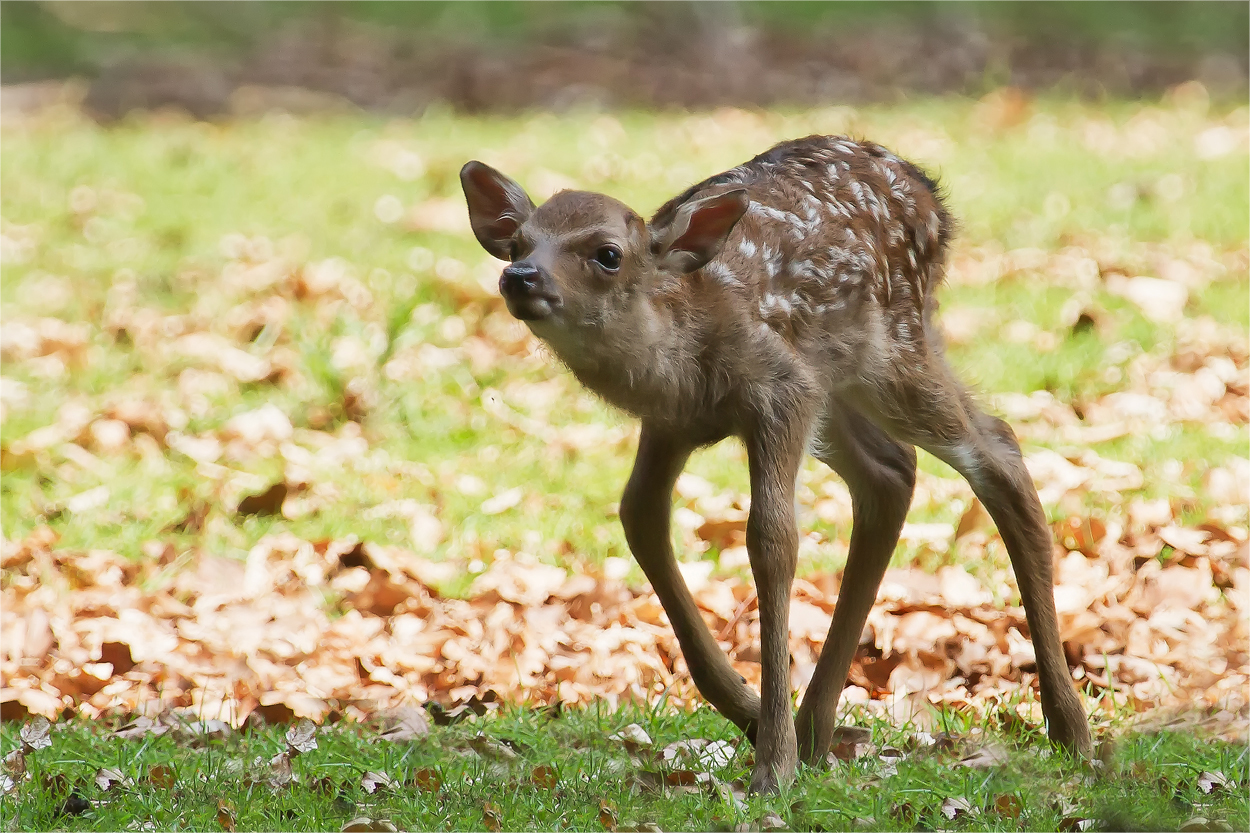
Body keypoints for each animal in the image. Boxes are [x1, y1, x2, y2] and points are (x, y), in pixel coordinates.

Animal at [462, 137, 1095, 790]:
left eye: (607, 254)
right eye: (519, 242)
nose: (521, 275)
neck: (683, 351)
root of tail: (931, 197)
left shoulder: (781, 388)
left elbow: (772, 539)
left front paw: (772, 763)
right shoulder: (673, 422)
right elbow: (640, 517)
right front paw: (753, 717)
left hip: (893, 349)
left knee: (997, 453)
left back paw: (1071, 731)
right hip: (841, 386)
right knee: (893, 471)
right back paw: (820, 729)